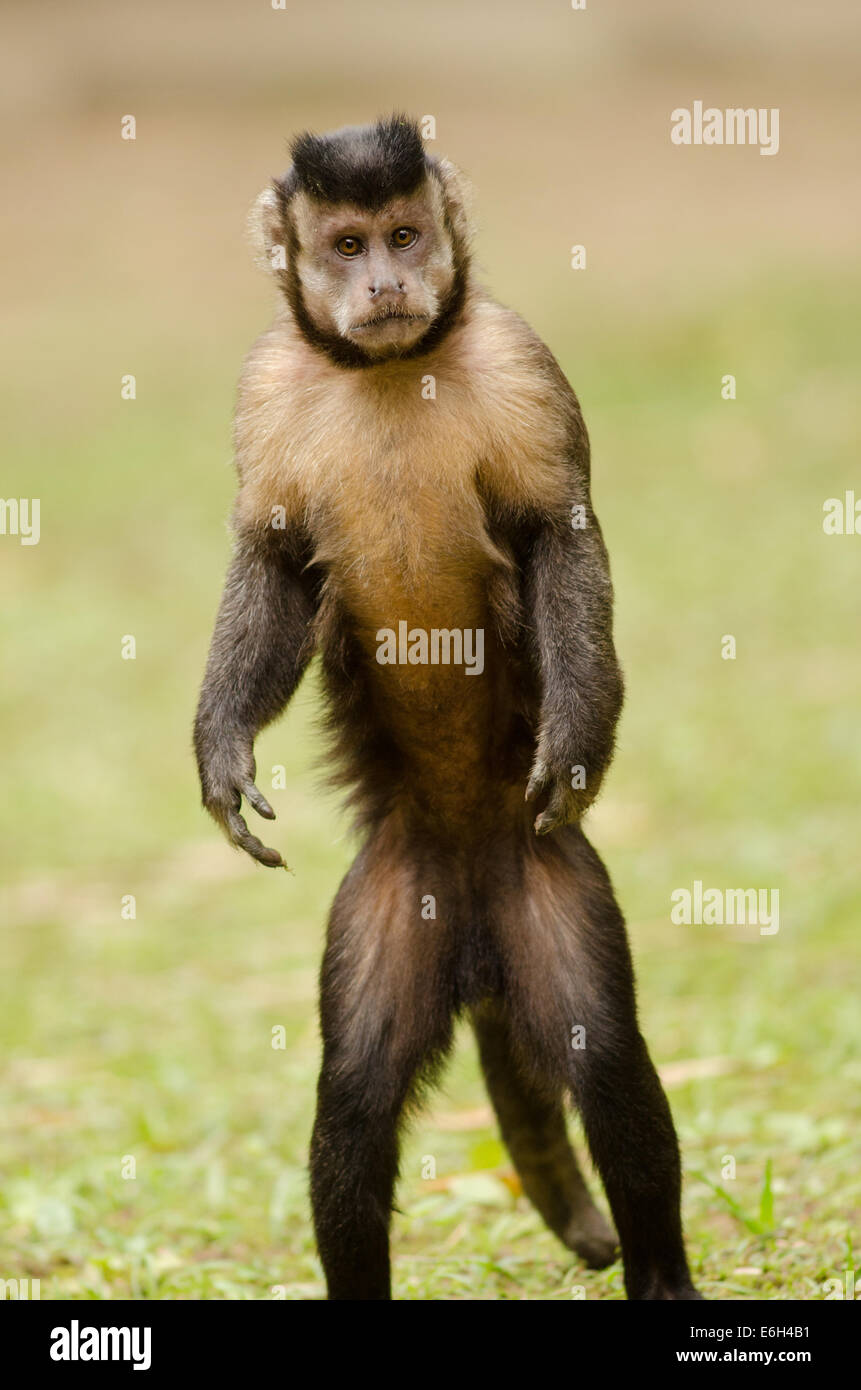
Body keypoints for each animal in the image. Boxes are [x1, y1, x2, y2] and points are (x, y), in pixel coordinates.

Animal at [193, 113, 701, 1295]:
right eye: (345, 245)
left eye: (405, 234)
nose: (384, 281)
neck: (393, 366)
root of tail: (472, 921)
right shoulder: (264, 384)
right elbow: (272, 564)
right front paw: (220, 753)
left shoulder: (521, 359)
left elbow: (562, 534)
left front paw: (576, 742)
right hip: (394, 891)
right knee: (353, 1099)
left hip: (545, 878)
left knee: (607, 1062)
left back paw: (660, 1271)